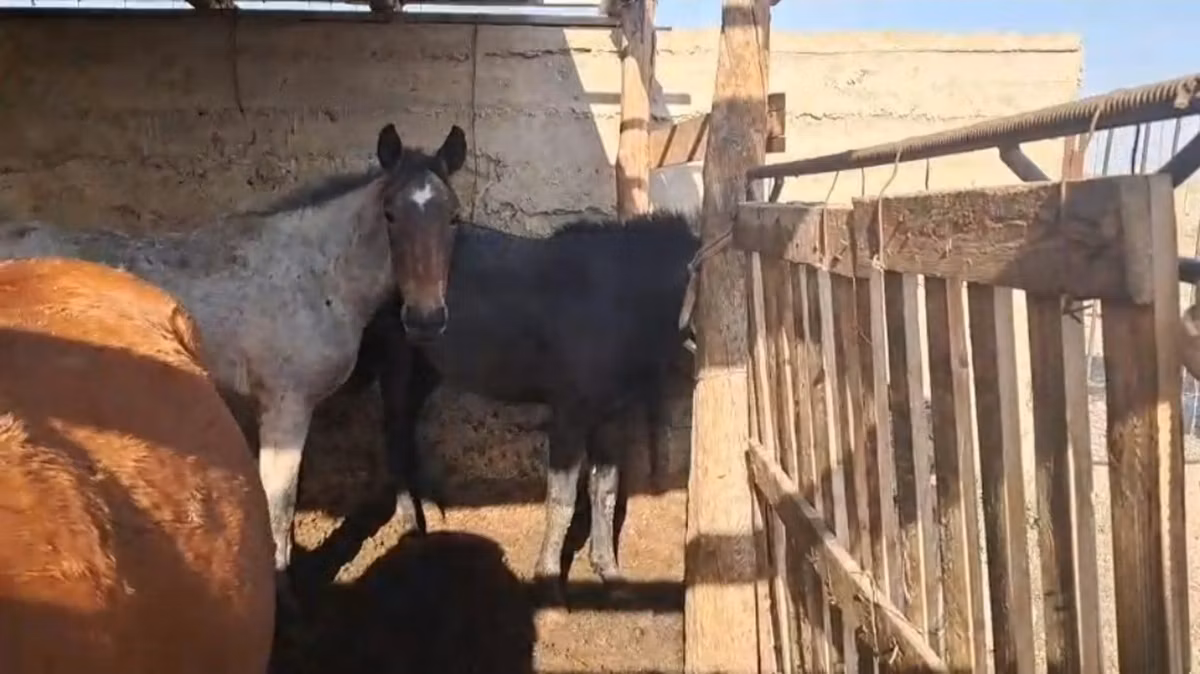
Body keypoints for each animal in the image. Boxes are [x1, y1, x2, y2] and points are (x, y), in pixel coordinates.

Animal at [0, 123, 468, 596]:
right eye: (390, 214)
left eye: (453, 217)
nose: (426, 319)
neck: (316, 277)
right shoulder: (286, 406)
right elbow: (278, 504)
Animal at [349, 210, 700, 601]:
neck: (614, 305)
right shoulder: (568, 417)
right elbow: (562, 499)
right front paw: (548, 580)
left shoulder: (610, 419)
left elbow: (604, 492)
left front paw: (608, 571)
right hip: (397, 360)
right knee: (394, 435)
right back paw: (410, 522)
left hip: (427, 368)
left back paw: (427, 509)